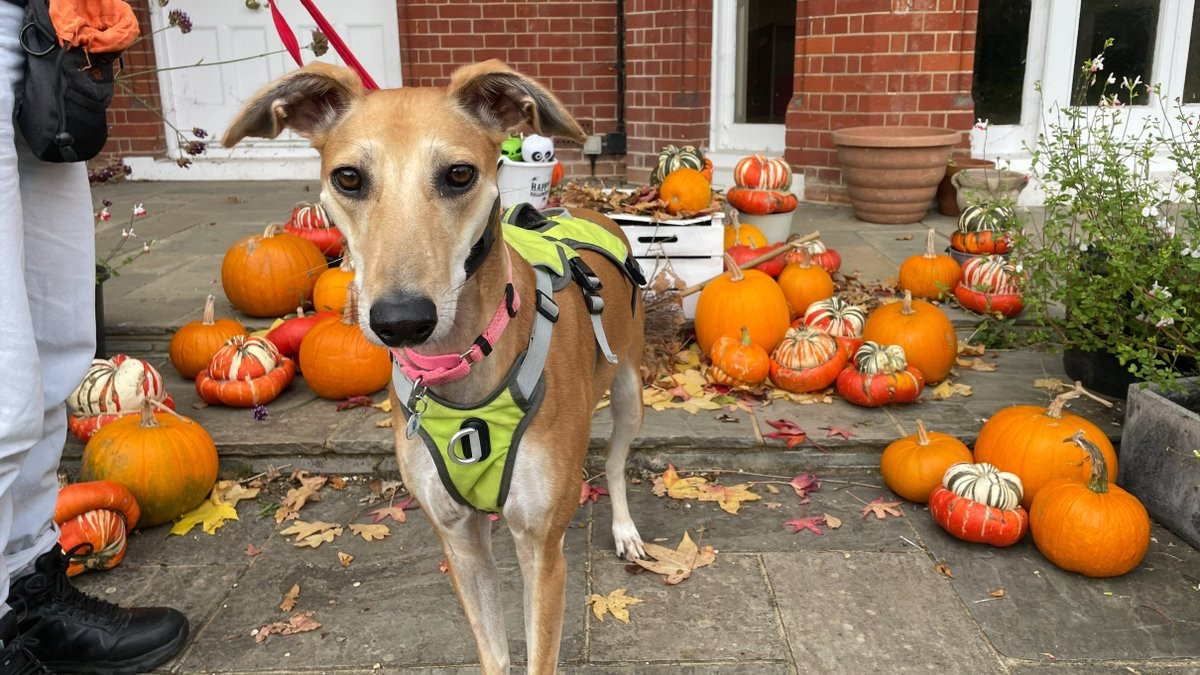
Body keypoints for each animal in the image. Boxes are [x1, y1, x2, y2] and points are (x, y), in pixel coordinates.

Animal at [223, 61, 646, 673]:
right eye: (348, 178)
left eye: (459, 174)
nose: (401, 321)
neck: (465, 363)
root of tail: (587, 207)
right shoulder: (460, 539)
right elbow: (494, 652)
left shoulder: (541, 548)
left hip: (631, 390)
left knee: (614, 463)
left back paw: (625, 530)